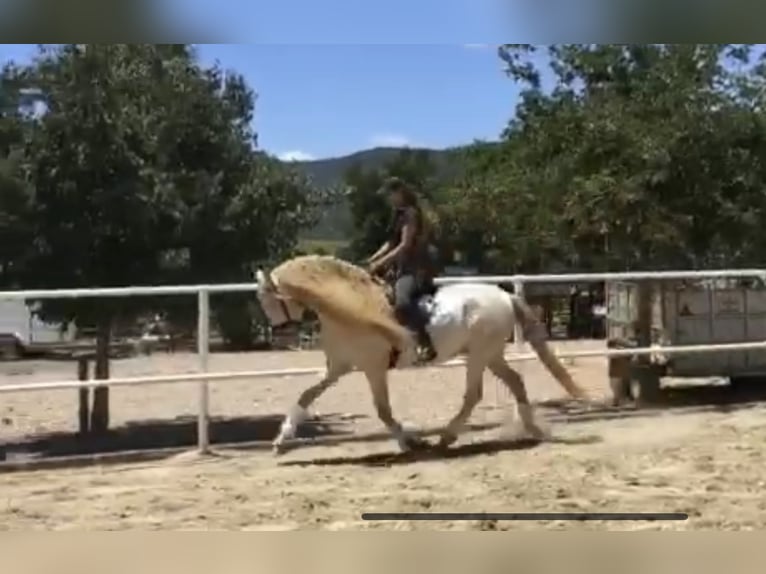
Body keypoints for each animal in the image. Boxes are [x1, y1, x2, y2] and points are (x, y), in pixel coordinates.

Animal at [255, 255, 592, 454]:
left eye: (269, 299)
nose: (280, 333)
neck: (349, 308)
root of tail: (504, 295)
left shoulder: (373, 368)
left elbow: (383, 410)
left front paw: (410, 443)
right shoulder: (339, 366)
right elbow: (306, 395)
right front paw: (281, 441)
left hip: (480, 354)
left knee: (475, 394)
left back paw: (447, 437)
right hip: (491, 354)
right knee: (515, 382)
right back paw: (533, 430)